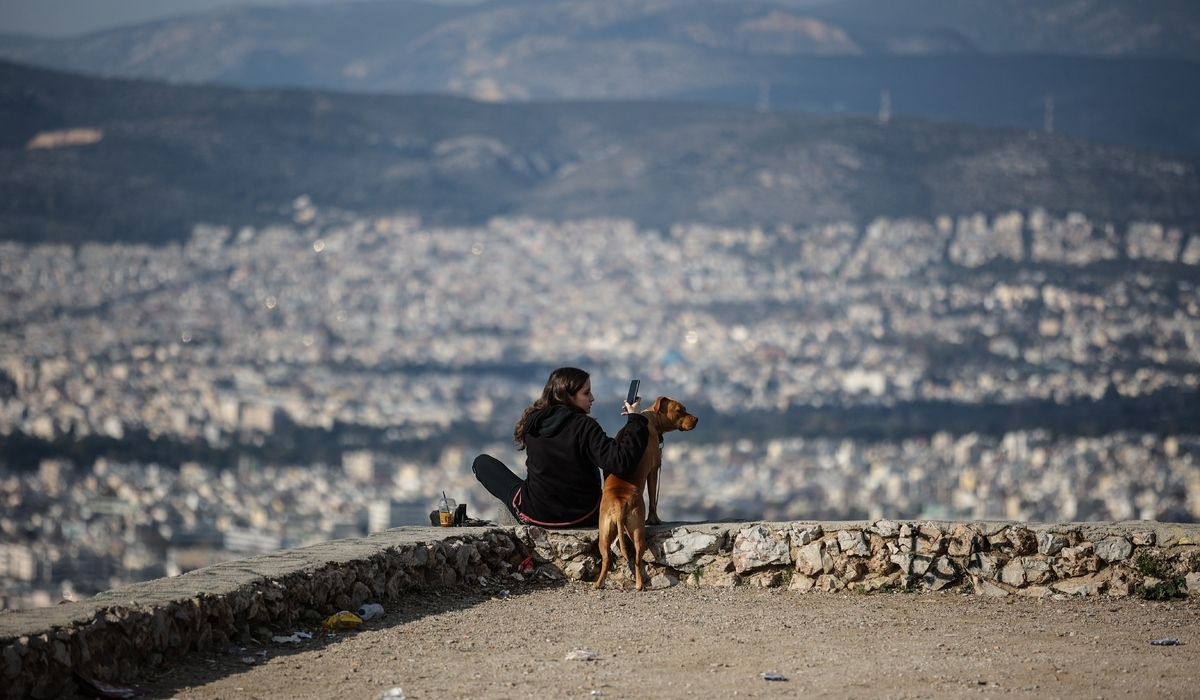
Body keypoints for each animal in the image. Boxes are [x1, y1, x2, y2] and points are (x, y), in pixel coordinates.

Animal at [595, 396, 700, 588]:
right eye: (679, 410)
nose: (696, 419)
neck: (649, 419)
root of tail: (619, 505)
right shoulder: (653, 471)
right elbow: (652, 499)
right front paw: (654, 520)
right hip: (637, 533)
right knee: (637, 559)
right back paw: (640, 585)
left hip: (604, 533)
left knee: (606, 558)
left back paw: (598, 583)